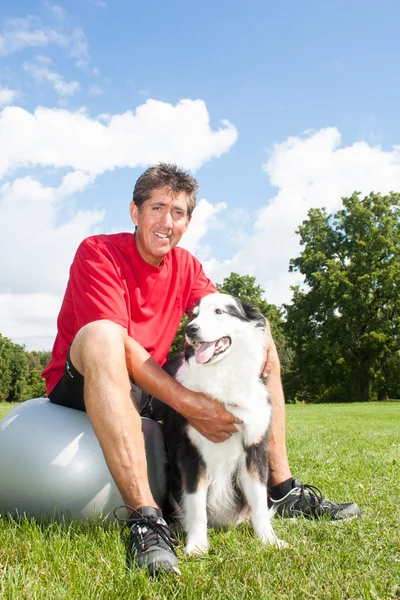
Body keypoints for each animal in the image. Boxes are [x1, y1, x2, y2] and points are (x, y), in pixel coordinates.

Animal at [163, 290, 284, 552]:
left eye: (219, 311)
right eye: (194, 315)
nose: (190, 330)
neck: (222, 373)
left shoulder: (255, 449)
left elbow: (259, 502)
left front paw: (268, 540)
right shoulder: (191, 453)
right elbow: (196, 505)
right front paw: (197, 546)